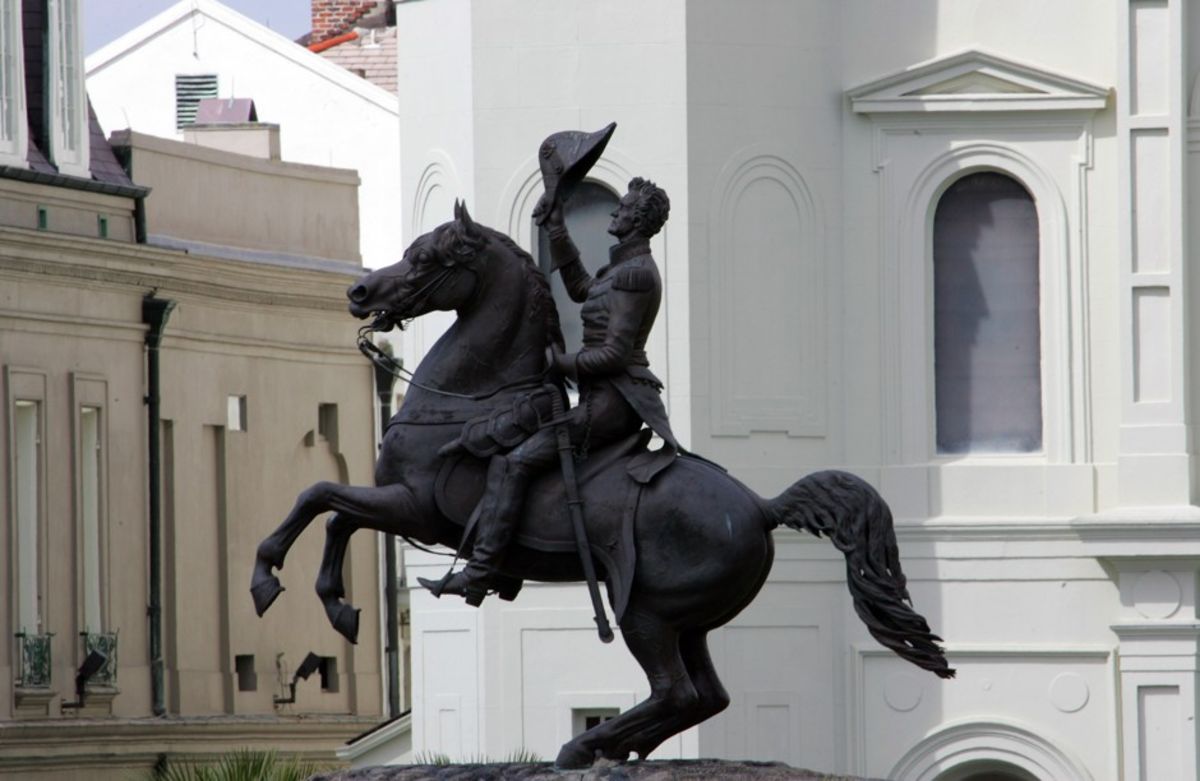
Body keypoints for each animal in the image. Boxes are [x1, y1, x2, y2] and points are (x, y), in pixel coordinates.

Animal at [248, 202, 950, 767]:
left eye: (426, 258)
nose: (360, 292)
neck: (470, 400)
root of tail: (759, 506)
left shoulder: (417, 509)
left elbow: (320, 499)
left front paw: (270, 580)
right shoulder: (402, 510)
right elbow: (335, 514)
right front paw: (337, 605)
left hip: (643, 611)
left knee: (677, 691)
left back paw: (584, 744)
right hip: (688, 622)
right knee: (705, 696)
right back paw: (613, 747)